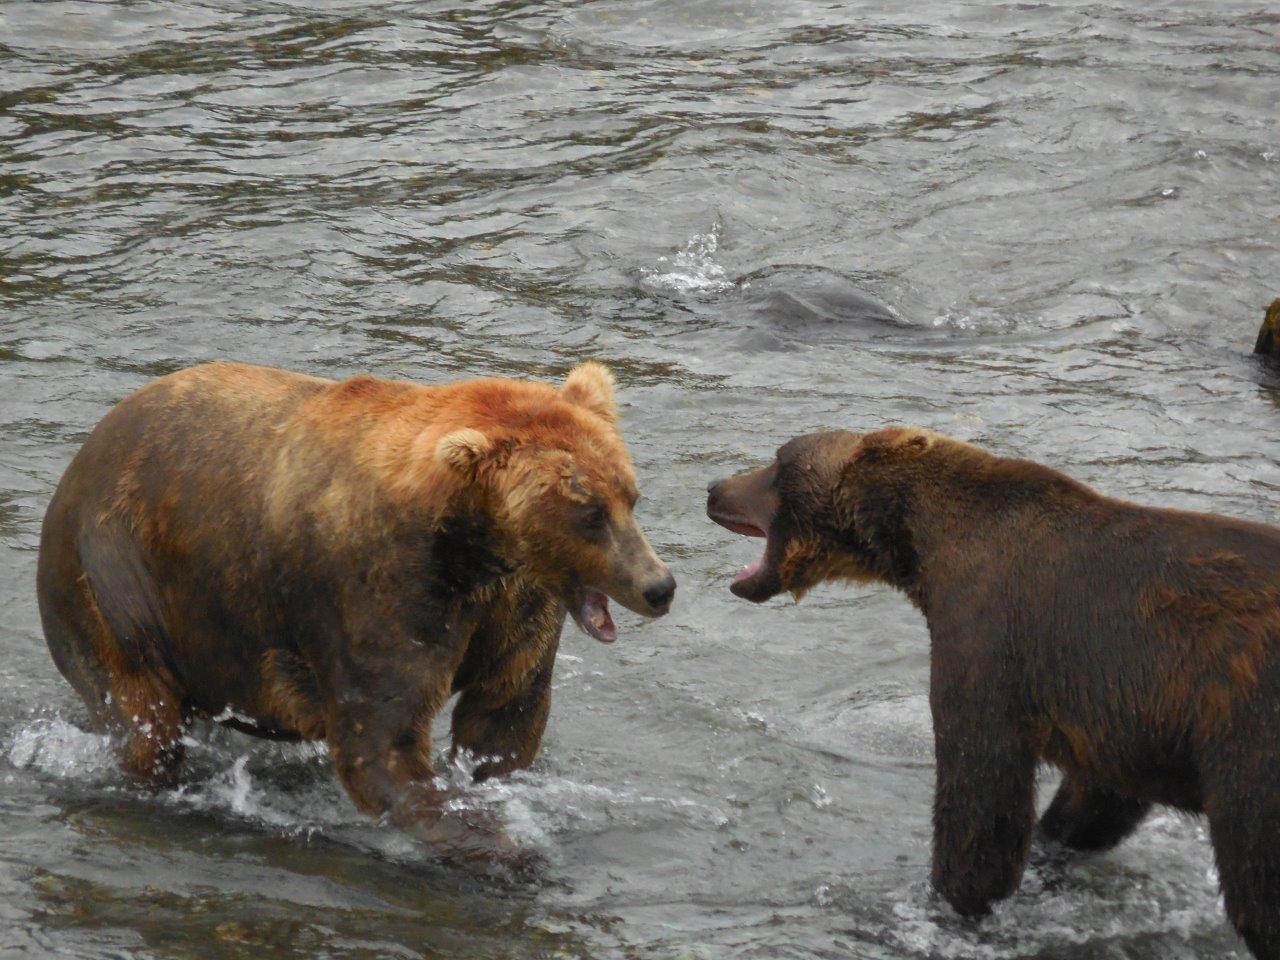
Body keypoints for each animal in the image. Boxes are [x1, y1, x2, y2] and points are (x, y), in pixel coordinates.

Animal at [35, 360, 675, 855]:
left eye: (630, 495)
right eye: (589, 513)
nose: (659, 586)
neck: (471, 550)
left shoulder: (511, 608)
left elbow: (505, 713)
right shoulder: (378, 594)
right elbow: (381, 743)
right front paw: (489, 838)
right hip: (115, 579)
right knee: (144, 716)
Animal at [706, 430, 1280, 960]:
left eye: (777, 463)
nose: (714, 488)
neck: (922, 547)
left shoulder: (988, 637)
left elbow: (981, 792)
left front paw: (947, 902)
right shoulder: (1127, 706)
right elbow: (1097, 796)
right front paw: (1052, 850)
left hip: (1251, 733)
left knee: (1253, 869)